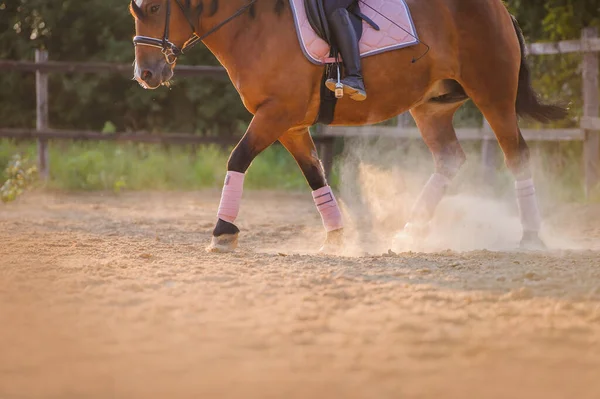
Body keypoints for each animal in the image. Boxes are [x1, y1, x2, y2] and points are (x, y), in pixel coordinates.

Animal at [130, 0, 568, 253]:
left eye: (152, 8)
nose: (146, 75)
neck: (254, 27)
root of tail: (499, 10)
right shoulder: (290, 125)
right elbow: (315, 176)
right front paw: (337, 237)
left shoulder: (276, 114)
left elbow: (237, 158)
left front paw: (222, 231)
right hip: (431, 107)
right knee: (449, 159)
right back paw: (411, 230)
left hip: (492, 94)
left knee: (517, 155)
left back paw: (532, 236)